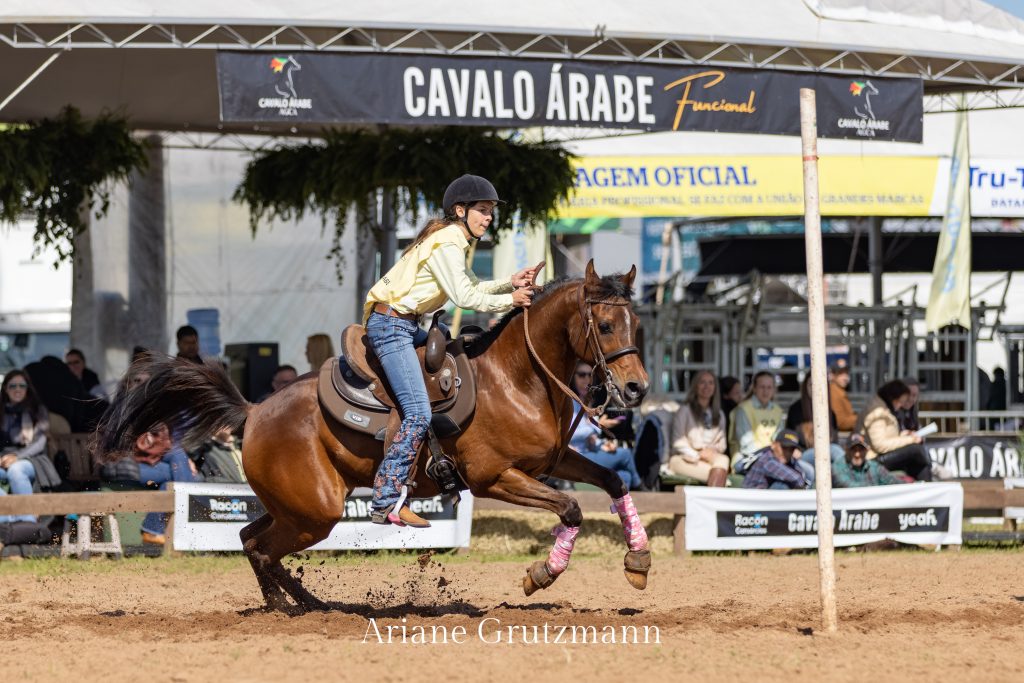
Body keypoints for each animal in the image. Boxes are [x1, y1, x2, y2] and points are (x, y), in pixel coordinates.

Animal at [97, 259, 655, 610]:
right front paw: (541, 575)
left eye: (637, 323)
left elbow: (614, 484)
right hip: (314, 511)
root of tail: (253, 411)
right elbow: (572, 508)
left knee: (249, 539)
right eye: (606, 325)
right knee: (261, 549)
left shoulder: (553, 463)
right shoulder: (495, 477)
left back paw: (308, 605)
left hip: (296, 508)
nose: (636, 388)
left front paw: (639, 560)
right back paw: (297, 610)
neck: (516, 379)